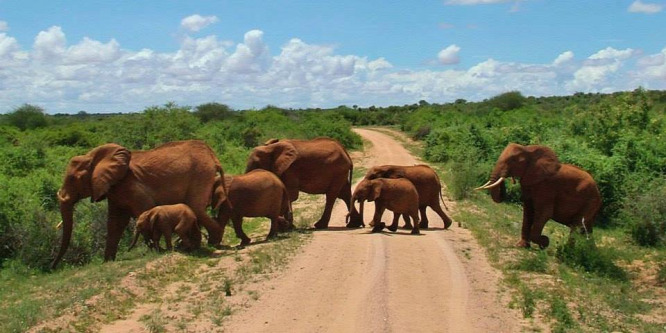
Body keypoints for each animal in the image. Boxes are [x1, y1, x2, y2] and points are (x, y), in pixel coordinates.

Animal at [52, 139, 228, 268]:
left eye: (73, 179)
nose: (53, 267)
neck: (94, 157)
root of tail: (213, 157)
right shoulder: (114, 190)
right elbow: (115, 223)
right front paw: (107, 261)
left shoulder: (132, 186)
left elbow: (145, 210)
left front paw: (159, 250)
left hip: (201, 174)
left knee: (196, 208)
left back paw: (211, 242)